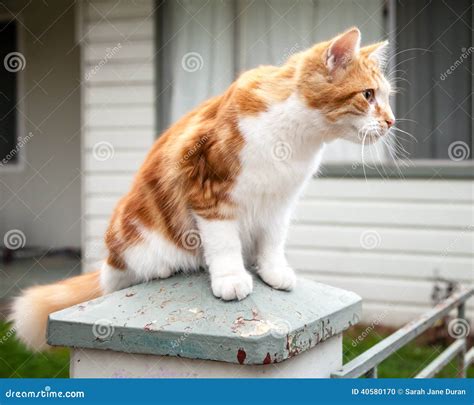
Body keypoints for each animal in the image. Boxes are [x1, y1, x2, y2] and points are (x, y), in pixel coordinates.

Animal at [11, 28, 396, 350]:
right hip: (132, 237)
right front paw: (231, 278)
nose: (391, 121)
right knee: (131, 270)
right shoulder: (210, 193)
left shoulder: (279, 203)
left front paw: (273, 272)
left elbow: (272, 243)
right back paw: (161, 268)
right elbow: (224, 244)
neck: (297, 138)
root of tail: (109, 262)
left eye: (386, 98)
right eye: (368, 95)